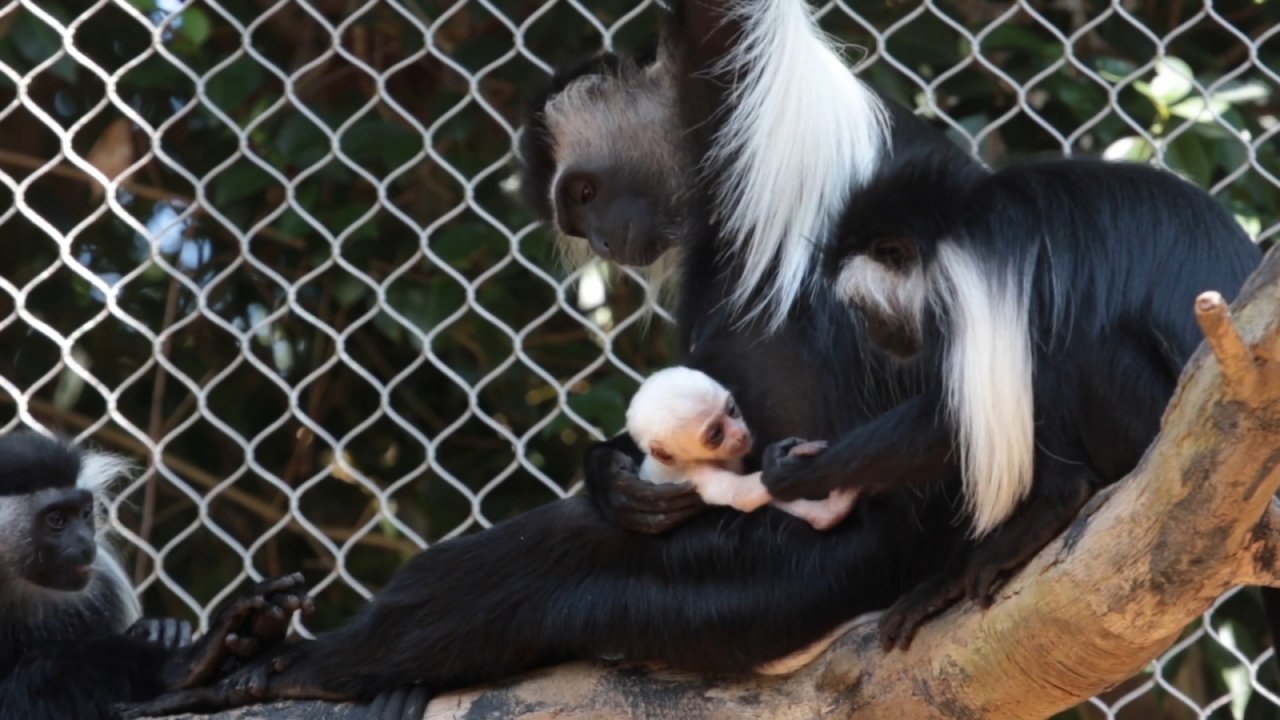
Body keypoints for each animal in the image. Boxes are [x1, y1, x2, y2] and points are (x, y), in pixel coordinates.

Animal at [628, 366, 855, 530]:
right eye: (716, 434)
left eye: (731, 410)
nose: (740, 434)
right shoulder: (695, 474)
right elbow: (740, 495)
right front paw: (780, 465)